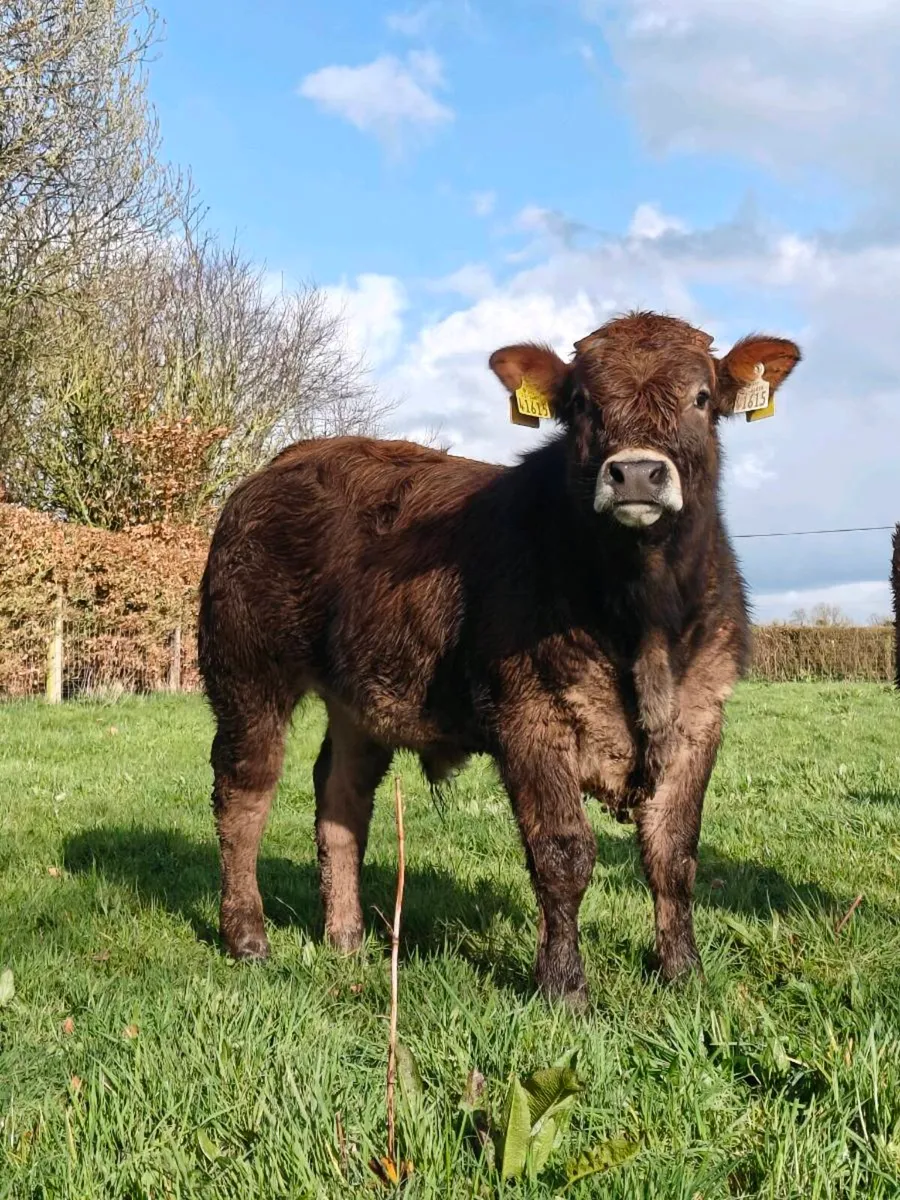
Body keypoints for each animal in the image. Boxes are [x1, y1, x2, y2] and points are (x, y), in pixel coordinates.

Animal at [198, 311, 801, 1006]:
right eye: (583, 404)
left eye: (701, 398)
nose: (636, 474)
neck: (643, 622)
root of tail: (282, 462)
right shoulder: (530, 718)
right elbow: (563, 854)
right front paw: (564, 987)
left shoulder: (700, 719)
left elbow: (673, 855)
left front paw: (684, 973)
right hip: (247, 674)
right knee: (243, 796)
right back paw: (247, 937)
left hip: (360, 699)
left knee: (341, 799)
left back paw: (346, 938)